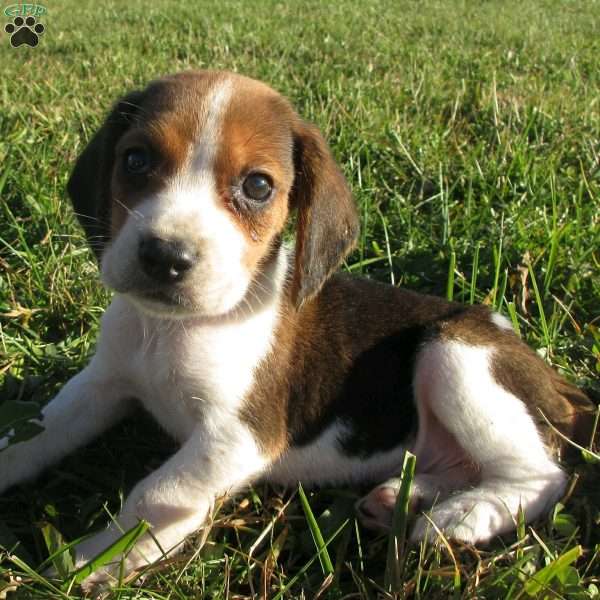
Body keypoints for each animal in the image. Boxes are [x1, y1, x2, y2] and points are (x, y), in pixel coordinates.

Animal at [0, 69, 592, 584]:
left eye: (258, 187)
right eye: (136, 159)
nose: (165, 256)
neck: (169, 330)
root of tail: (562, 385)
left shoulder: (240, 437)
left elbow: (159, 493)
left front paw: (102, 558)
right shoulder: (102, 385)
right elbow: (35, 432)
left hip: (455, 355)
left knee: (544, 477)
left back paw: (462, 515)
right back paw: (406, 498)